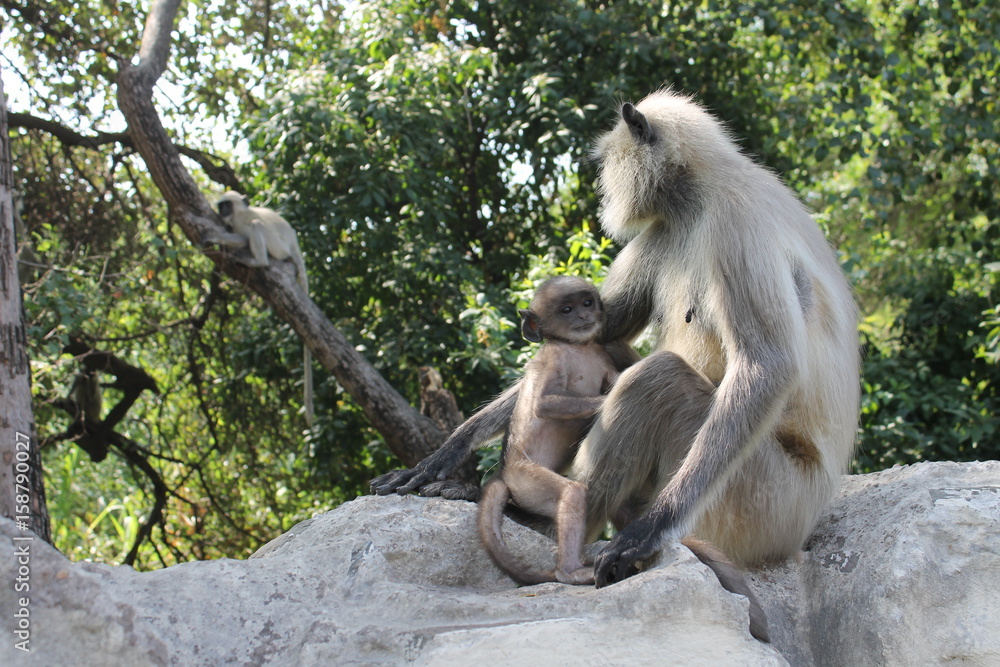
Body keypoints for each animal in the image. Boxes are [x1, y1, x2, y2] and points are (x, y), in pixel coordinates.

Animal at [204, 191, 314, 426]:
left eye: (227, 205)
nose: (222, 211)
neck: (239, 214)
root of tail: (294, 247)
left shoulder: (242, 221)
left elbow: (246, 234)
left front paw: (215, 238)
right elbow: (239, 238)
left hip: (278, 247)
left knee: (257, 228)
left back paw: (258, 262)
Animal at [478, 276, 618, 586]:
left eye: (587, 302)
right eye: (566, 309)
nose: (583, 316)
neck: (577, 348)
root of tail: (505, 472)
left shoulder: (600, 354)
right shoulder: (554, 357)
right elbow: (543, 403)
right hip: (527, 483)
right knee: (573, 493)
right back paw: (571, 571)